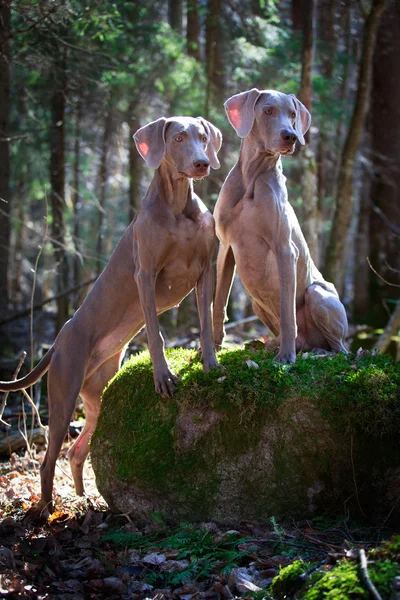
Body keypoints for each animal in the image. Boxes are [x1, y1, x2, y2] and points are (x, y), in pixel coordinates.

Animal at [212, 88, 346, 360]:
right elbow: (219, 303)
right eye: (268, 110)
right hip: (256, 303)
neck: (252, 177)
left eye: (293, 114)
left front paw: (285, 358)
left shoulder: (285, 249)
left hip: (318, 294)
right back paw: (269, 344)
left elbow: (287, 311)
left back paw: (315, 352)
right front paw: (209, 350)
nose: (290, 136)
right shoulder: (225, 247)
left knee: (339, 348)